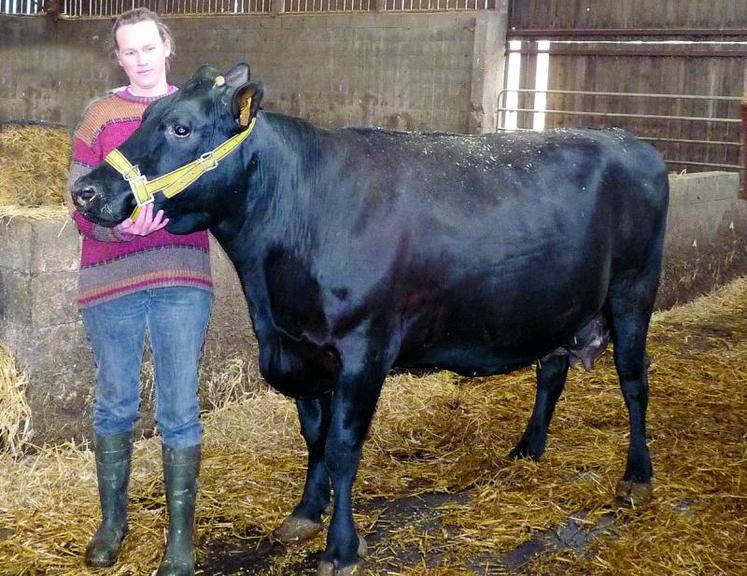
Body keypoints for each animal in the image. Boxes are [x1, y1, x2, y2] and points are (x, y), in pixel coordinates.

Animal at [73, 64, 672, 576]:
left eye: (181, 127)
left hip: (634, 289)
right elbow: (314, 438)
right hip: (555, 303)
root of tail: (632, 141)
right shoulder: (300, 349)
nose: (87, 190)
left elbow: (343, 448)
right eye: (144, 118)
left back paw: (637, 477)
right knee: (551, 369)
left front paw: (340, 548)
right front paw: (305, 514)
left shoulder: (365, 349)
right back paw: (529, 448)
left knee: (634, 380)